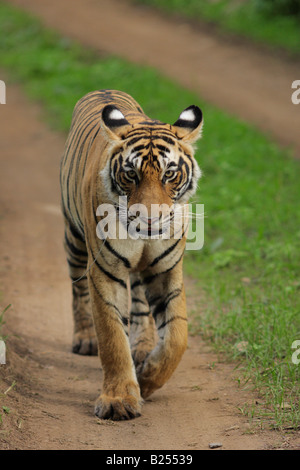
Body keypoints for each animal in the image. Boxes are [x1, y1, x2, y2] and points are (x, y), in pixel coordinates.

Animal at [59, 90, 203, 420]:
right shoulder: (104, 270)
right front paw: (119, 400)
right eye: (130, 174)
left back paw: (142, 347)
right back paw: (85, 338)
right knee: (77, 289)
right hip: (74, 240)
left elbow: (177, 336)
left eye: (169, 174)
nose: (149, 219)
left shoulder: (165, 270)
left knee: (139, 303)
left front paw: (147, 378)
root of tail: (104, 90)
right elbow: (112, 337)